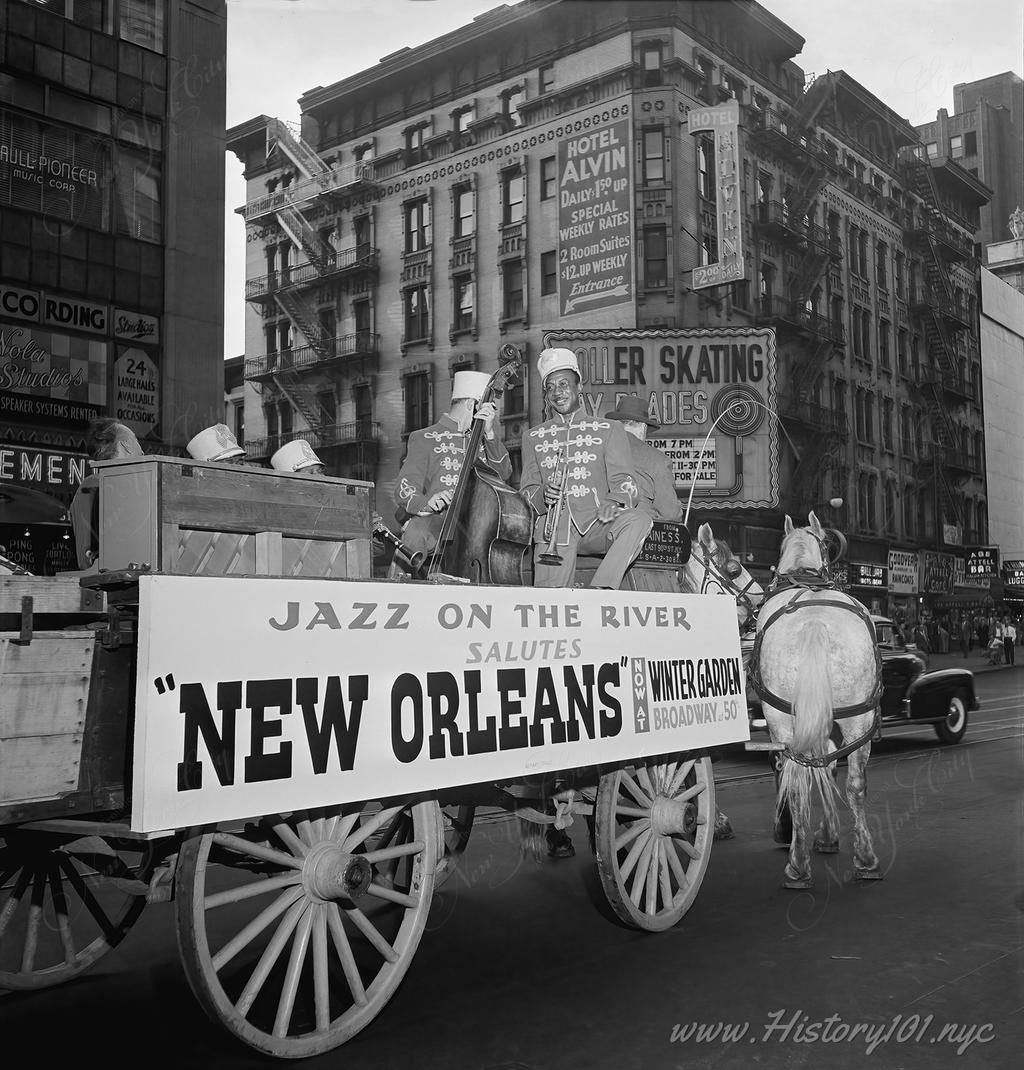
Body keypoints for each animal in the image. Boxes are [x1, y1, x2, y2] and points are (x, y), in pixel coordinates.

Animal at [749, 513, 881, 890]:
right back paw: (865, 859)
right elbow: (830, 768)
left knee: (798, 780)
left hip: (782, 719)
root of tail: (815, 624)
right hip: (858, 717)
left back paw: (798, 864)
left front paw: (823, 834)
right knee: (854, 784)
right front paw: (827, 834)